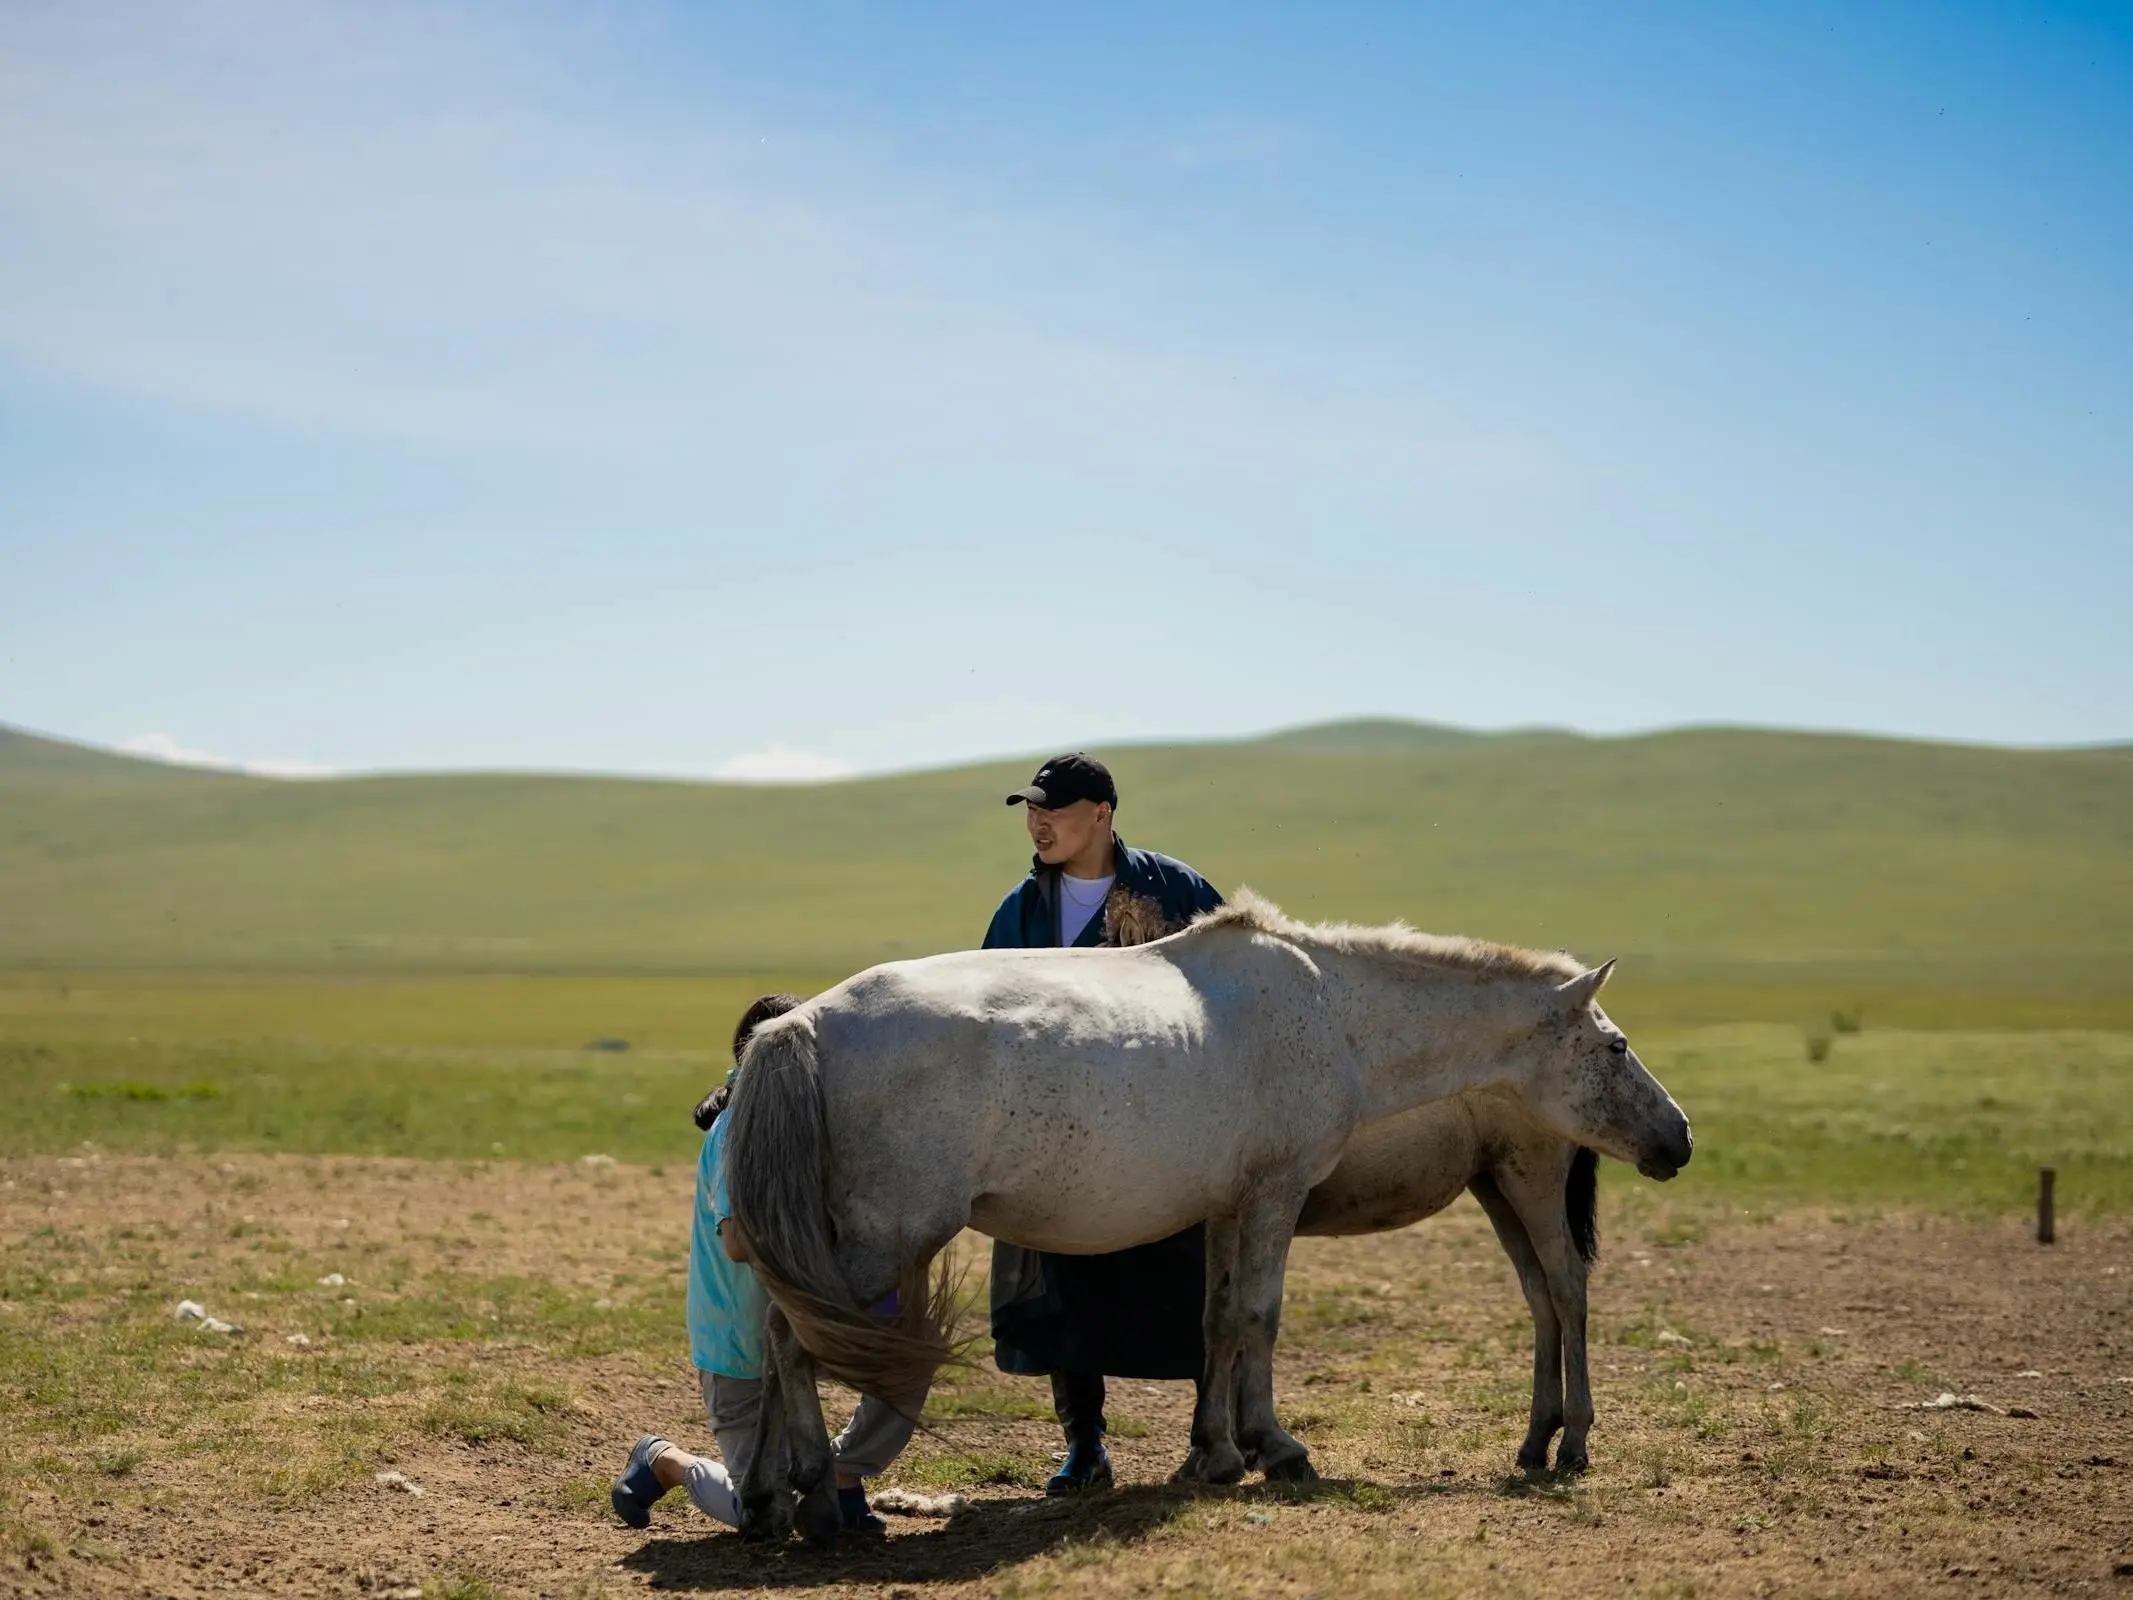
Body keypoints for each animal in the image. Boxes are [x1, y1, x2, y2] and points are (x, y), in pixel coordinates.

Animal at [725, 896, 1689, 1544]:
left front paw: (1215, 1454)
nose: (1676, 1138)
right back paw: (816, 1499)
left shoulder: (1231, 1208)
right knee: (791, 1345)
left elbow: (1219, 1322)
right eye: (1615, 1046)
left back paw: (766, 1502)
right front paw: (1275, 1448)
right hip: (879, 1244)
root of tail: (800, 1029)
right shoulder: (1273, 1196)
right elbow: (1258, 1317)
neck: (1331, 1012)